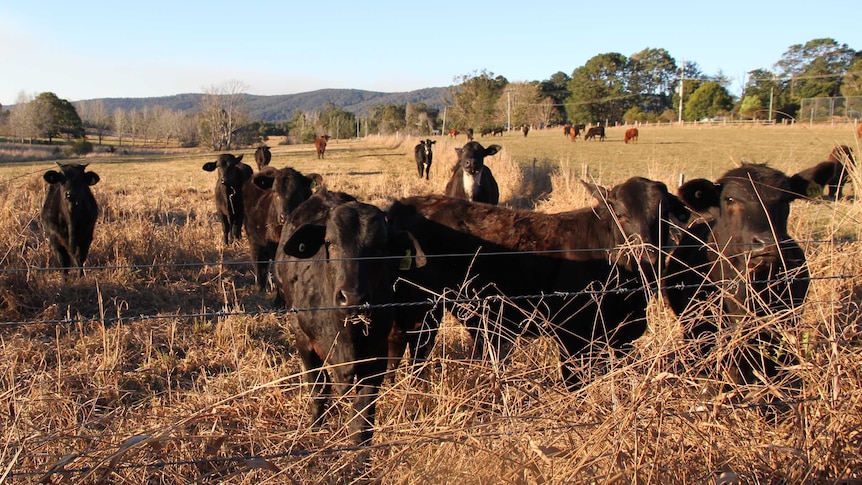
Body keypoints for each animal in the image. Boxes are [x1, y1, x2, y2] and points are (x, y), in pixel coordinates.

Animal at [243, 166, 324, 294]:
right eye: (275, 192)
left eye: (298, 192)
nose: (284, 216)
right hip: (254, 241)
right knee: (259, 264)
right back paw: (260, 289)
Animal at [276, 187, 422, 444]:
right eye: (329, 242)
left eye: (381, 246)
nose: (353, 297)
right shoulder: (303, 340)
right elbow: (319, 388)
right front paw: (315, 426)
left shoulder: (376, 354)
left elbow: (362, 415)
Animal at [388, 176, 692, 388]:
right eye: (620, 214)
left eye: (664, 214)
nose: (648, 254)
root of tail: (407, 204)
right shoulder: (572, 336)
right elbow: (574, 382)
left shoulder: (621, 339)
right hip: (418, 307)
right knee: (409, 346)